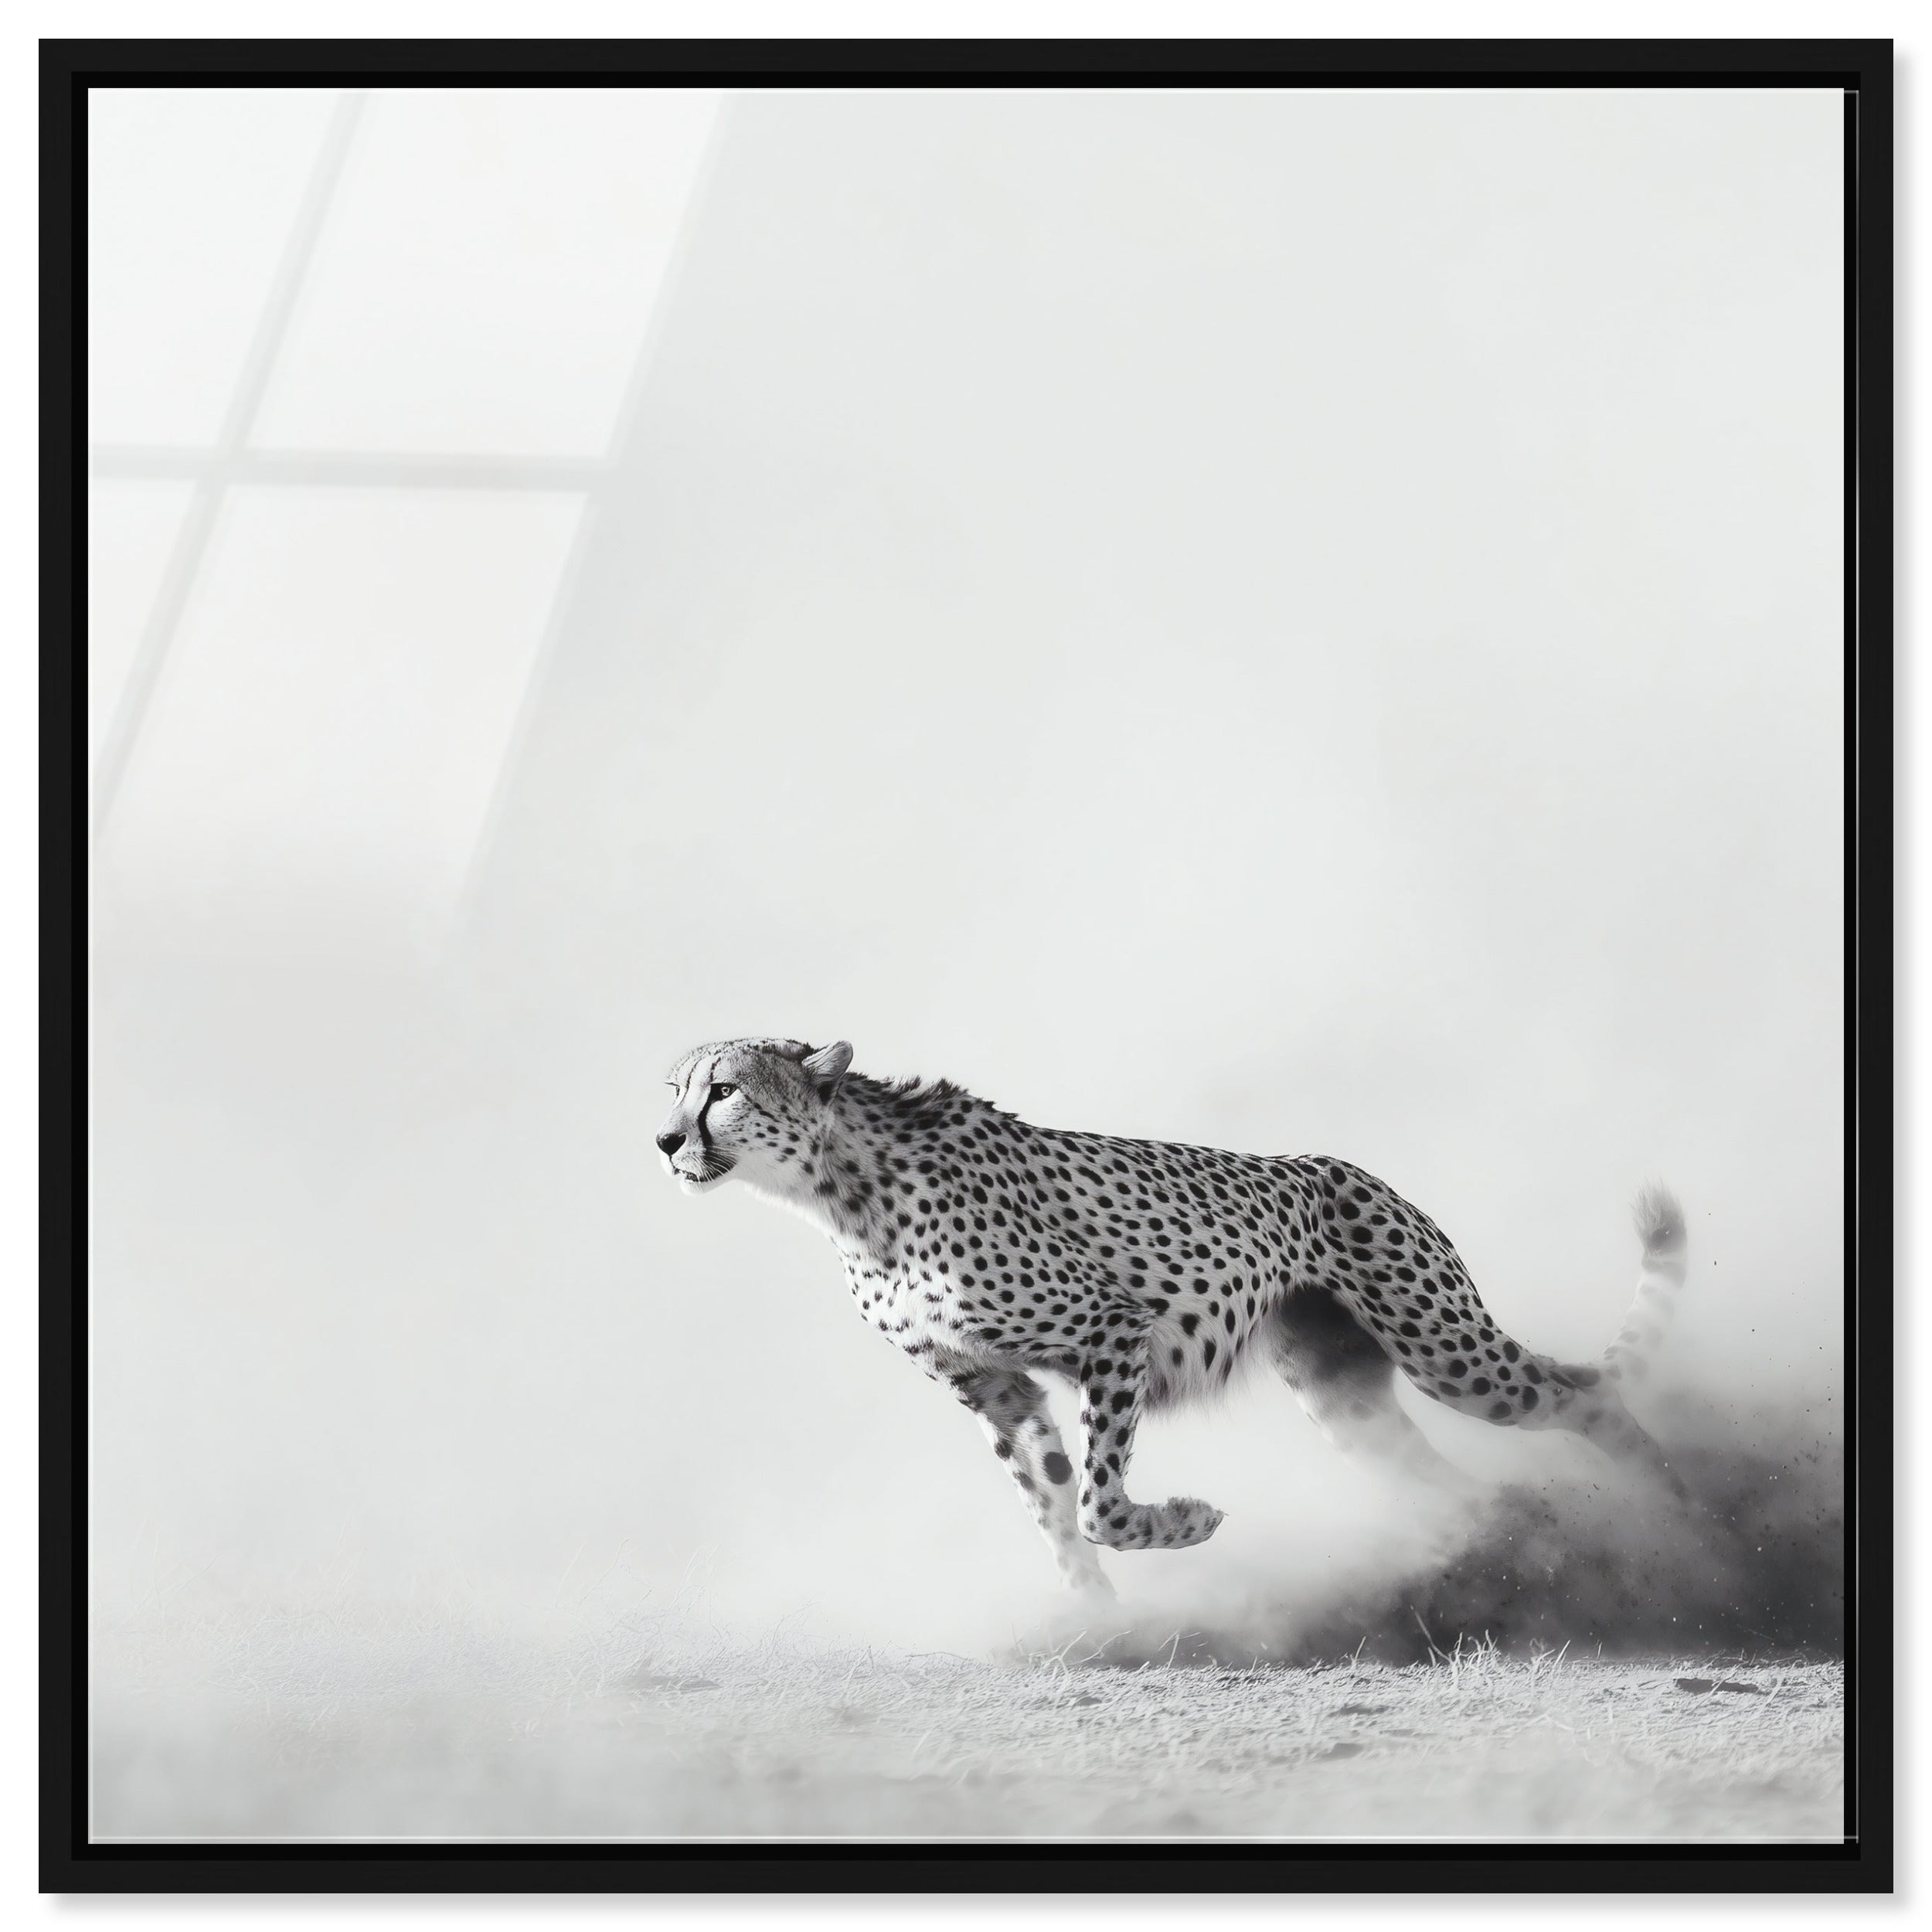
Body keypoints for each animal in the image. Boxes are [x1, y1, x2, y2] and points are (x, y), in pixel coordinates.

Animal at [656, 1037, 1689, 1597]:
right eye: (672, 1088)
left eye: (723, 1088)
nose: (664, 1140)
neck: (841, 1190)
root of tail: (1353, 1169)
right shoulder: (992, 1385)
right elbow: (1051, 1505)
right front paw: (1101, 1620)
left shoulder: (1112, 1329)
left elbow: (1098, 1502)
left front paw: (1184, 1522)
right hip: (1343, 1394)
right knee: (1452, 1476)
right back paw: (1508, 1543)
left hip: (1446, 1346)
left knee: (1580, 1394)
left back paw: (1687, 1507)